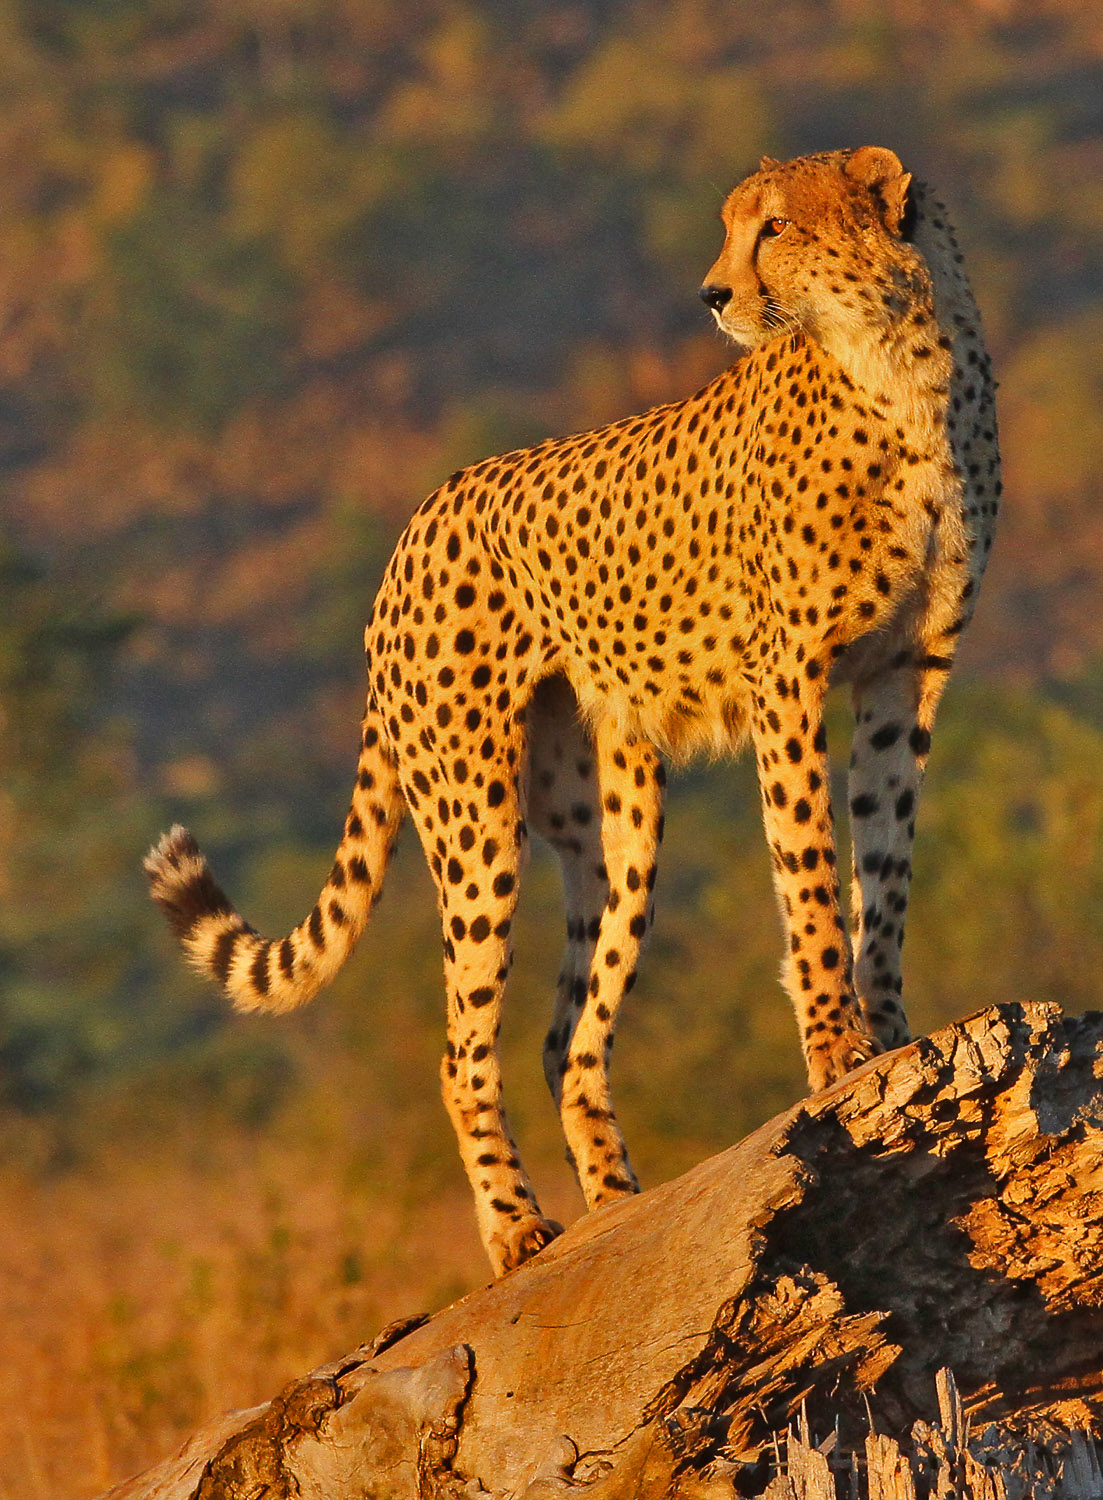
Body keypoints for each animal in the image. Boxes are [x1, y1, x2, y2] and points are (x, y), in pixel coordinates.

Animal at [146, 146, 1000, 1279]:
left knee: (568, 1039)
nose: (710, 294)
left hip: (613, 822)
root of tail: (420, 518)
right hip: (471, 812)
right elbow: (812, 874)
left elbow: (884, 867)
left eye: (772, 227)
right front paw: (837, 1050)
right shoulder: (790, 677)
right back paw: (516, 1228)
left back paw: (615, 1208)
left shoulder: (907, 672)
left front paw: (894, 1030)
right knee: (460, 1049)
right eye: (733, 226)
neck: (898, 363)